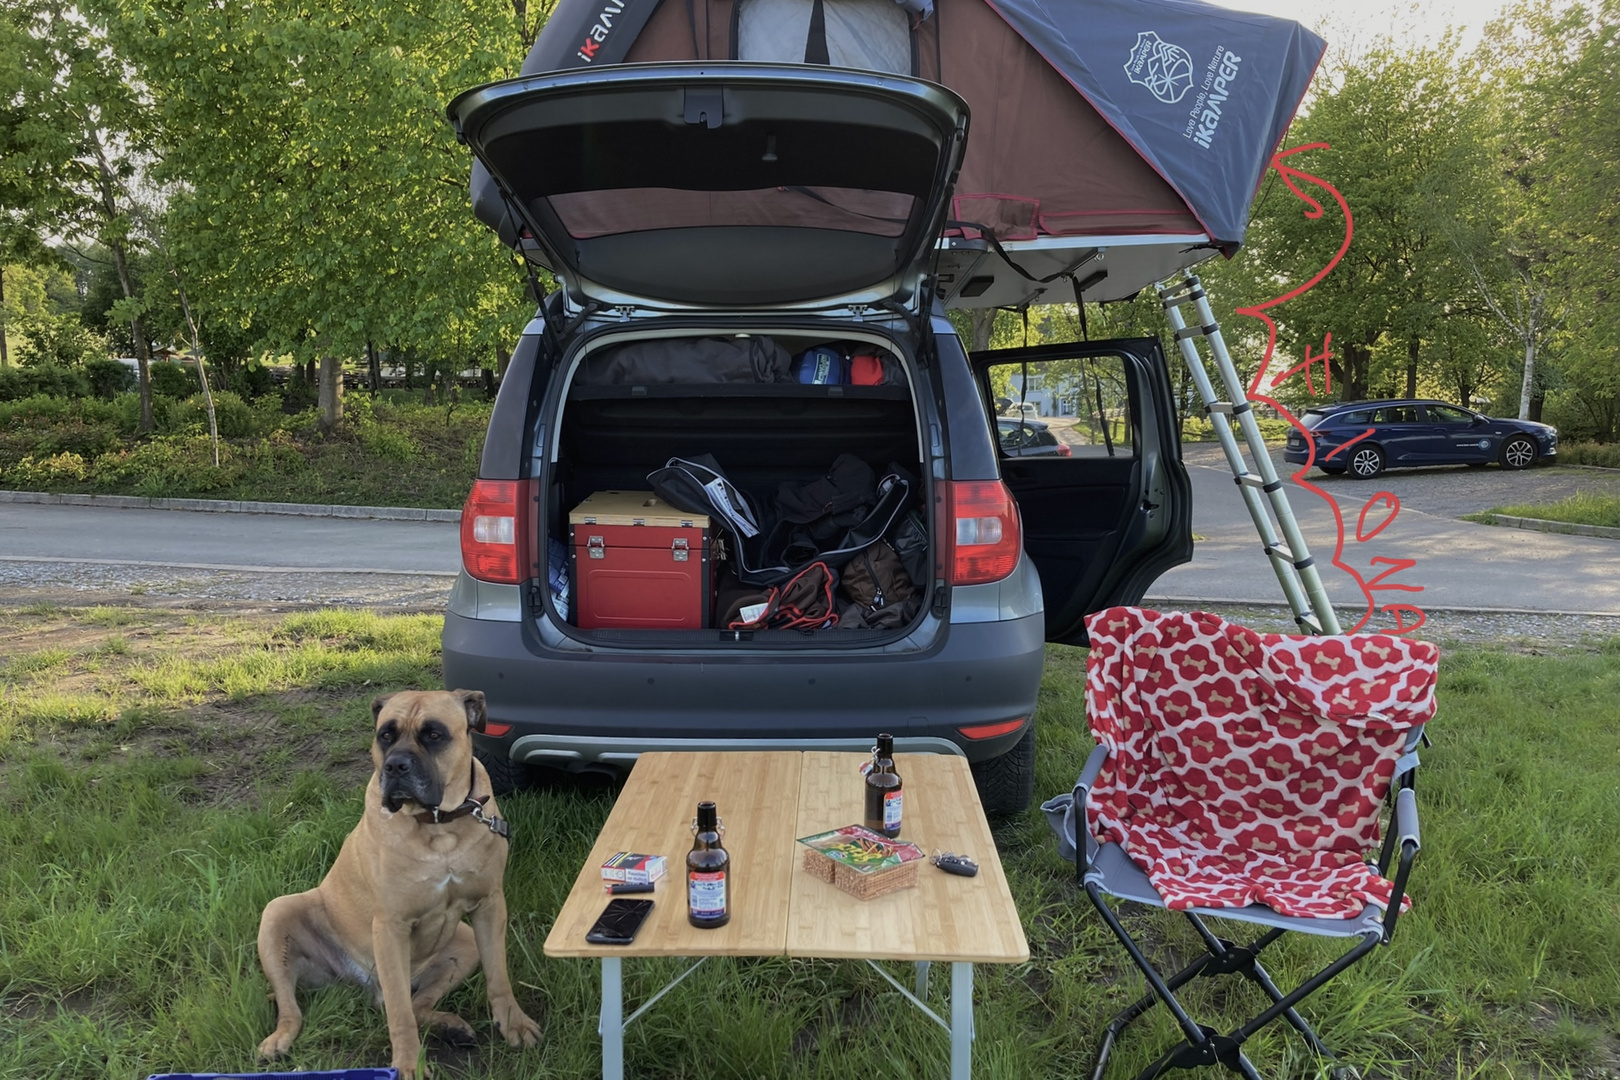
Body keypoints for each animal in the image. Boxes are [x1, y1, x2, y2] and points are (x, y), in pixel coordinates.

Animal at [255, 689, 541, 1075]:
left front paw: (514, 1022)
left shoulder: (490, 904)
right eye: (385, 735)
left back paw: (451, 1027)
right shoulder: (390, 927)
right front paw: (408, 1065)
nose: (395, 766)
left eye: (434, 734)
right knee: (293, 1007)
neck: (439, 826)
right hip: (278, 913)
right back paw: (278, 1041)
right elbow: (400, 1013)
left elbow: (499, 976)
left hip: (465, 943)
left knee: (418, 1004)